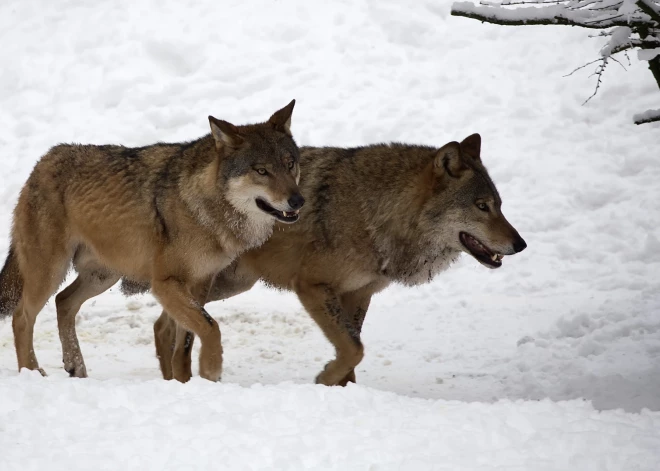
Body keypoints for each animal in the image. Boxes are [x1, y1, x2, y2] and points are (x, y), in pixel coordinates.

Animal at [0, 100, 304, 384]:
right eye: (262, 171)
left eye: (290, 164)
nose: (298, 200)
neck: (206, 206)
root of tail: (43, 161)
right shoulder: (165, 284)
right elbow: (210, 327)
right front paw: (211, 370)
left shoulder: (200, 283)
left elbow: (186, 343)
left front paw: (185, 382)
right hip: (50, 272)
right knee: (22, 316)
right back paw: (31, 371)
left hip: (103, 276)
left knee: (63, 302)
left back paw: (76, 366)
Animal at [148, 135, 524, 386]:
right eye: (481, 206)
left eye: (500, 205)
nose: (520, 244)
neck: (375, 212)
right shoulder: (312, 287)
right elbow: (353, 349)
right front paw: (325, 379)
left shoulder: (358, 294)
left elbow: (353, 349)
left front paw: (346, 391)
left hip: (227, 285)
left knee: (163, 323)